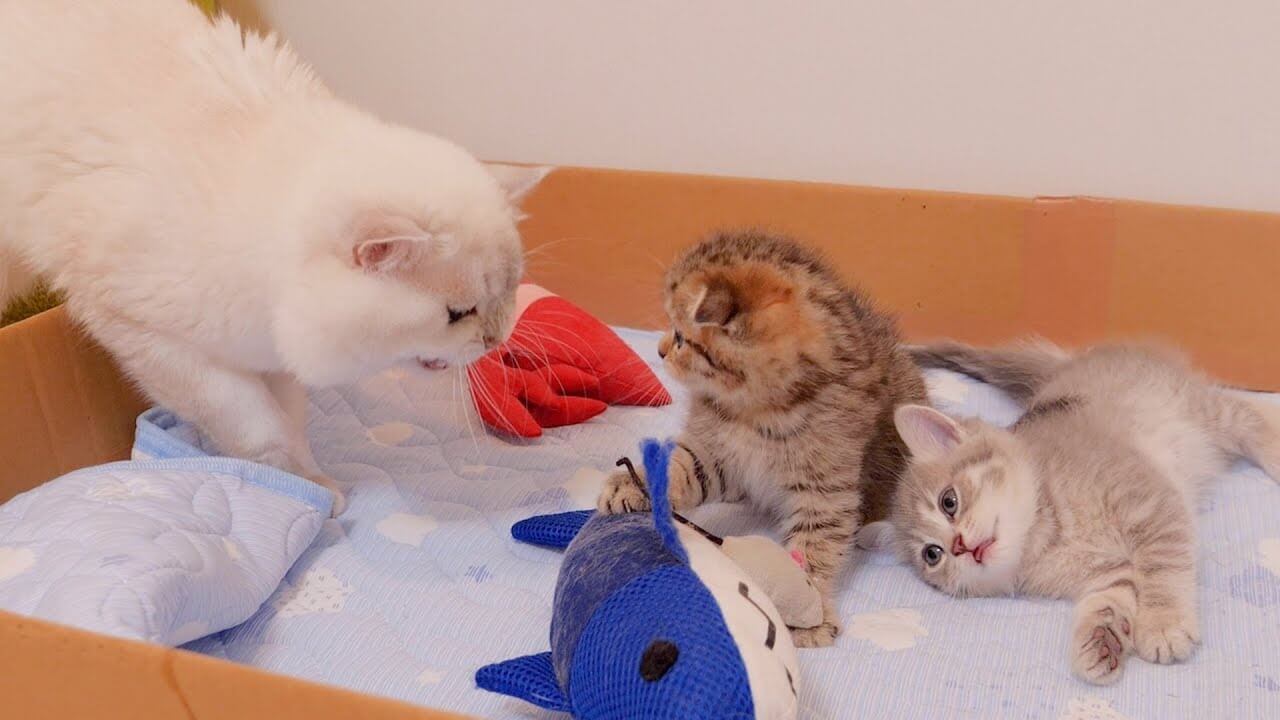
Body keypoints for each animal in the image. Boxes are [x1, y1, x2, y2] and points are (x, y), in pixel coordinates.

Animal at [0, 0, 547, 514]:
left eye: (507, 297)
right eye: (458, 314)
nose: (497, 340)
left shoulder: (273, 357)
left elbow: (291, 423)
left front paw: (313, 480)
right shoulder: (155, 341)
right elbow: (259, 428)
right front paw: (301, 490)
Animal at [598, 230, 928, 647]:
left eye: (681, 338)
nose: (658, 351)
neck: (756, 411)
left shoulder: (825, 487)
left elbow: (817, 543)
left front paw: (809, 608)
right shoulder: (717, 454)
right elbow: (682, 466)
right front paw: (633, 483)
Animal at [888, 340, 1280, 684]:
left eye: (948, 502)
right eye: (932, 555)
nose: (959, 547)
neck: (1047, 533)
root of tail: (1071, 361)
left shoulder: (1151, 502)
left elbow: (1163, 568)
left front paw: (1163, 623)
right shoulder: (1112, 571)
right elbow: (1111, 598)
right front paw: (1101, 639)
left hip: (1198, 409)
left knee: (1243, 411)